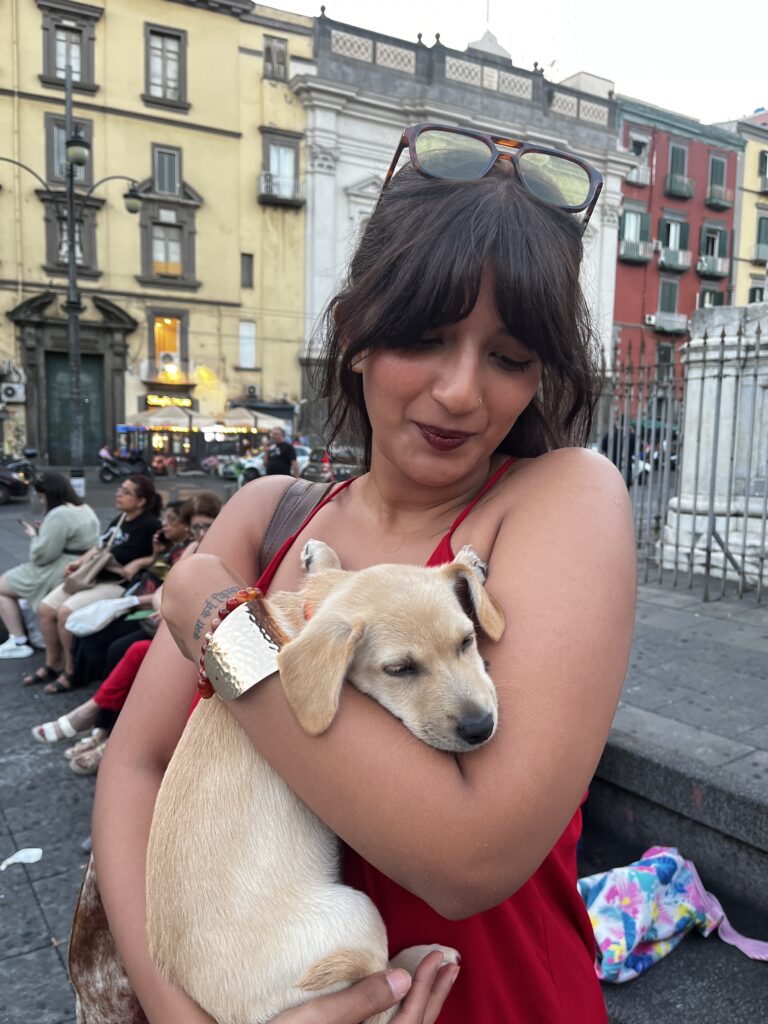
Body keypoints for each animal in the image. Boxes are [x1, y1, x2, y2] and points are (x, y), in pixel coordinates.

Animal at [145, 541, 505, 1024]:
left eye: (466, 641)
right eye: (399, 669)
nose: (480, 728)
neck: (306, 613)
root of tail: (234, 1016)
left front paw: (319, 555)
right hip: (354, 914)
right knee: (384, 996)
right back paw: (420, 963)